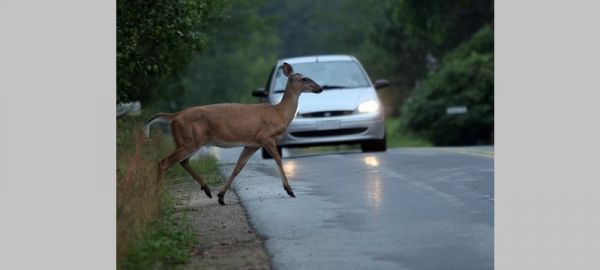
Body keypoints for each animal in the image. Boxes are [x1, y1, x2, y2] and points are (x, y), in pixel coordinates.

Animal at [144, 62, 324, 205]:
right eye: (304, 78)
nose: (320, 88)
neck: (279, 113)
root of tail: (175, 116)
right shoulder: (266, 137)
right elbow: (279, 160)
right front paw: (290, 190)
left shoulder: (252, 143)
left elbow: (238, 167)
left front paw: (221, 196)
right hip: (190, 140)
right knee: (164, 162)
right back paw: (156, 195)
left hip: (190, 141)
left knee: (183, 161)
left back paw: (207, 190)